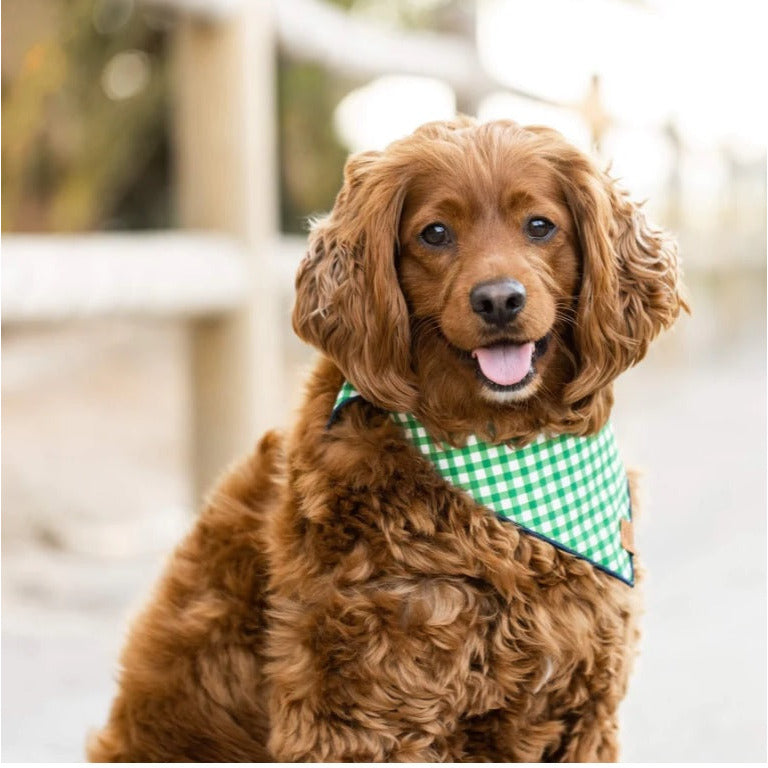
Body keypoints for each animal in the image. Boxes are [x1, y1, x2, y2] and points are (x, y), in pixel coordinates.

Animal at [87, 117, 688, 760]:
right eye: (435, 233)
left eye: (540, 225)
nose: (499, 300)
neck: (498, 447)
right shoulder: (361, 713)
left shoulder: (585, 707)